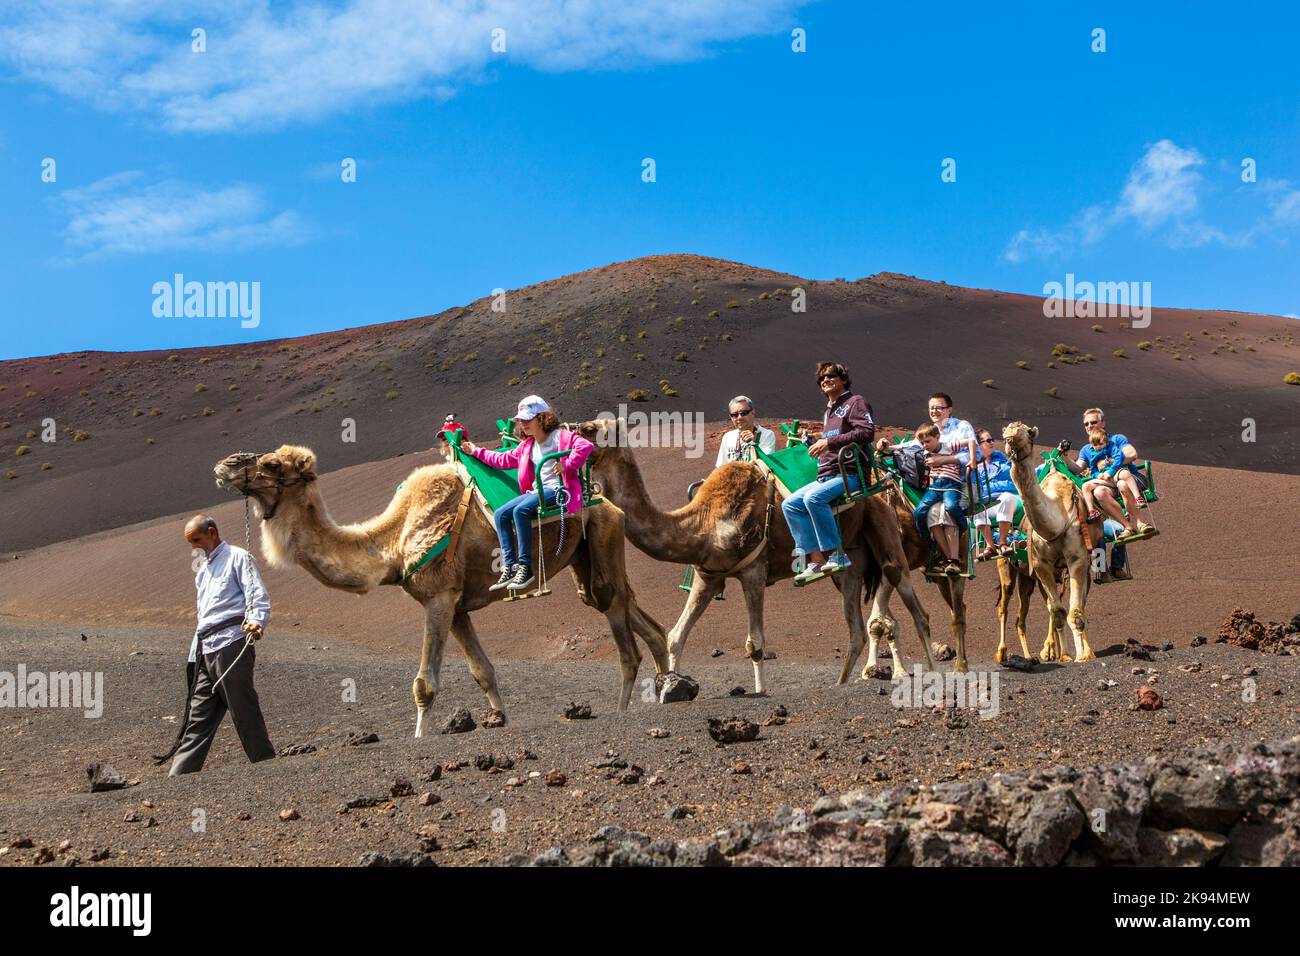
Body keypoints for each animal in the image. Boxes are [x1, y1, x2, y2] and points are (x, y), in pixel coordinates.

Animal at [213, 444, 670, 738]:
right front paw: (498, 718)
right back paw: (670, 688)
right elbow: (483, 671)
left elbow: (424, 684)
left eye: (272, 464)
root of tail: (604, 500)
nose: (225, 464)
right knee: (631, 611)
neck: (394, 543)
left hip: (603, 533)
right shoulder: (458, 606)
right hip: (584, 553)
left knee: (615, 611)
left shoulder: (438, 597)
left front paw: (420, 737)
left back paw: (625, 707)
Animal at [572, 416, 935, 686]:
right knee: (855, 628)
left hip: (886, 533)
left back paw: (930, 673)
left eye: (590, 429)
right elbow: (676, 636)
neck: (703, 522)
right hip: (851, 561)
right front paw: (671, 686)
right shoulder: (707, 575)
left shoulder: (753, 572)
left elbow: (756, 645)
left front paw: (759, 692)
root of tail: (878, 476)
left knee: (915, 606)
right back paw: (841, 683)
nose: (569, 433)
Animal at [1003, 426, 1097, 665]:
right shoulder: (1040, 564)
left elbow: (1075, 612)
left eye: (1027, 432)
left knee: (1079, 604)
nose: (1010, 438)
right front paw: (1064, 655)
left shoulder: (1077, 558)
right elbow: (1058, 612)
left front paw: (1082, 655)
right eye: (1005, 431)